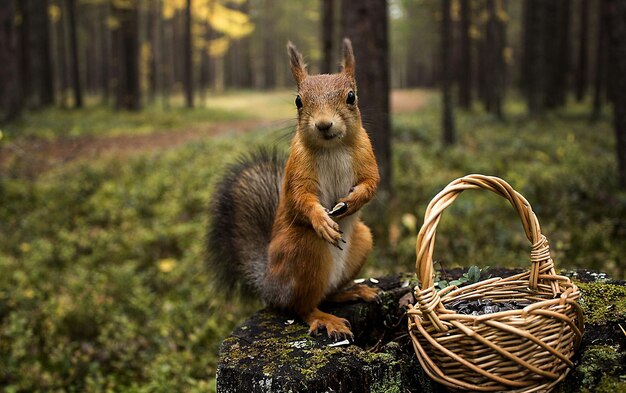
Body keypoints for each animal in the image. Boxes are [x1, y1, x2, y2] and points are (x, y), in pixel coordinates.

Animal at [207, 38, 378, 338]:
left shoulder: (367, 156)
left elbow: (371, 183)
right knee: (301, 307)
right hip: (304, 249)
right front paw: (322, 220)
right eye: (299, 101)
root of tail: (270, 285)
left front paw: (353, 201)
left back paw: (353, 292)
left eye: (351, 97)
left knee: (327, 294)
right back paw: (325, 318)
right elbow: (301, 197)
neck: (332, 147)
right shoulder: (298, 168)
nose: (323, 124)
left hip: (362, 240)